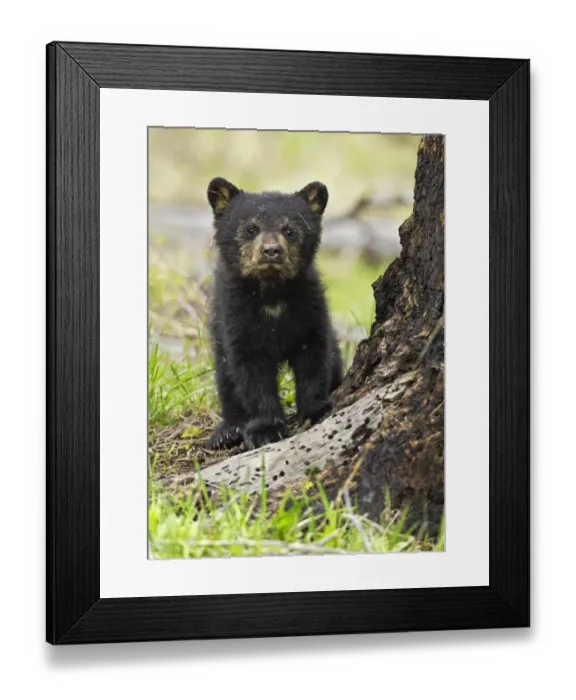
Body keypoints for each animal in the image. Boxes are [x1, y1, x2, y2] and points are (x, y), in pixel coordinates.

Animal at [205, 176, 344, 451]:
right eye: (251, 228)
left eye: (289, 230)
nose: (271, 250)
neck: (271, 294)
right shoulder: (236, 317)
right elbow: (251, 375)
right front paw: (266, 430)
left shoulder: (309, 306)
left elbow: (313, 357)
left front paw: (316, 409)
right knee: (225, 377)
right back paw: (227, 431)